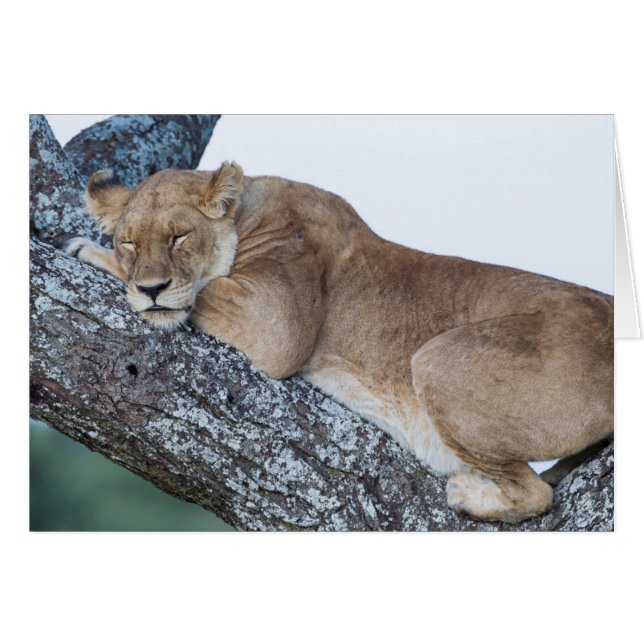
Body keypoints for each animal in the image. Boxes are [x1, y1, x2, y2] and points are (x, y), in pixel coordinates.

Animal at [65, 162, 614, 523]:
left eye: (179, 236)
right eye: (130, 241)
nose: (152, 287)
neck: (248, 213)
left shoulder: (275, 322)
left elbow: (202, 288)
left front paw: (90, 253)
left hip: (437, 358)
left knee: (536, 494)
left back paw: (469, 495)